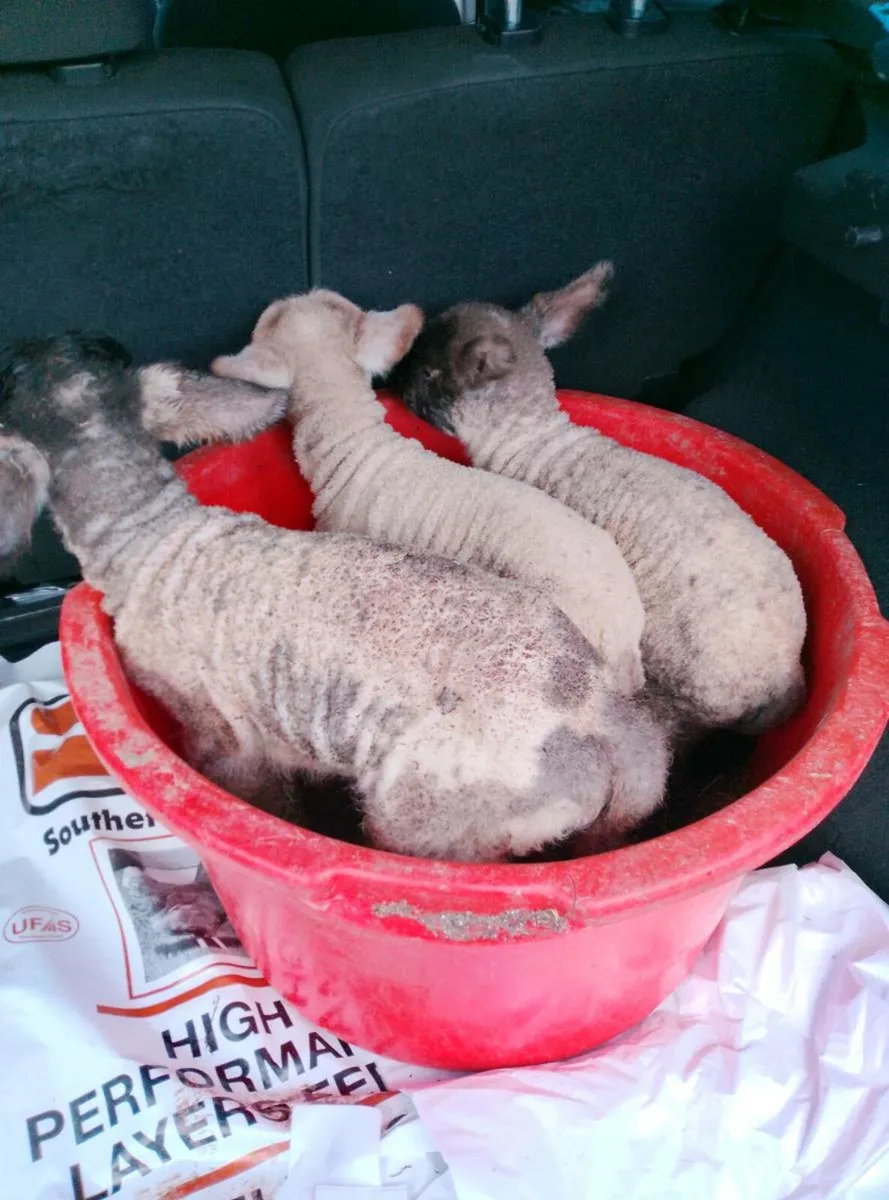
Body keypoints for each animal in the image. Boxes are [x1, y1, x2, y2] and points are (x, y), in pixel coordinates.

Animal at [0, 330, 669, 861]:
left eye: (8, 373)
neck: (153, 534)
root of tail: (606, 720)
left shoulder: (218, 731)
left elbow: (263, 797)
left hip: (426, 815)